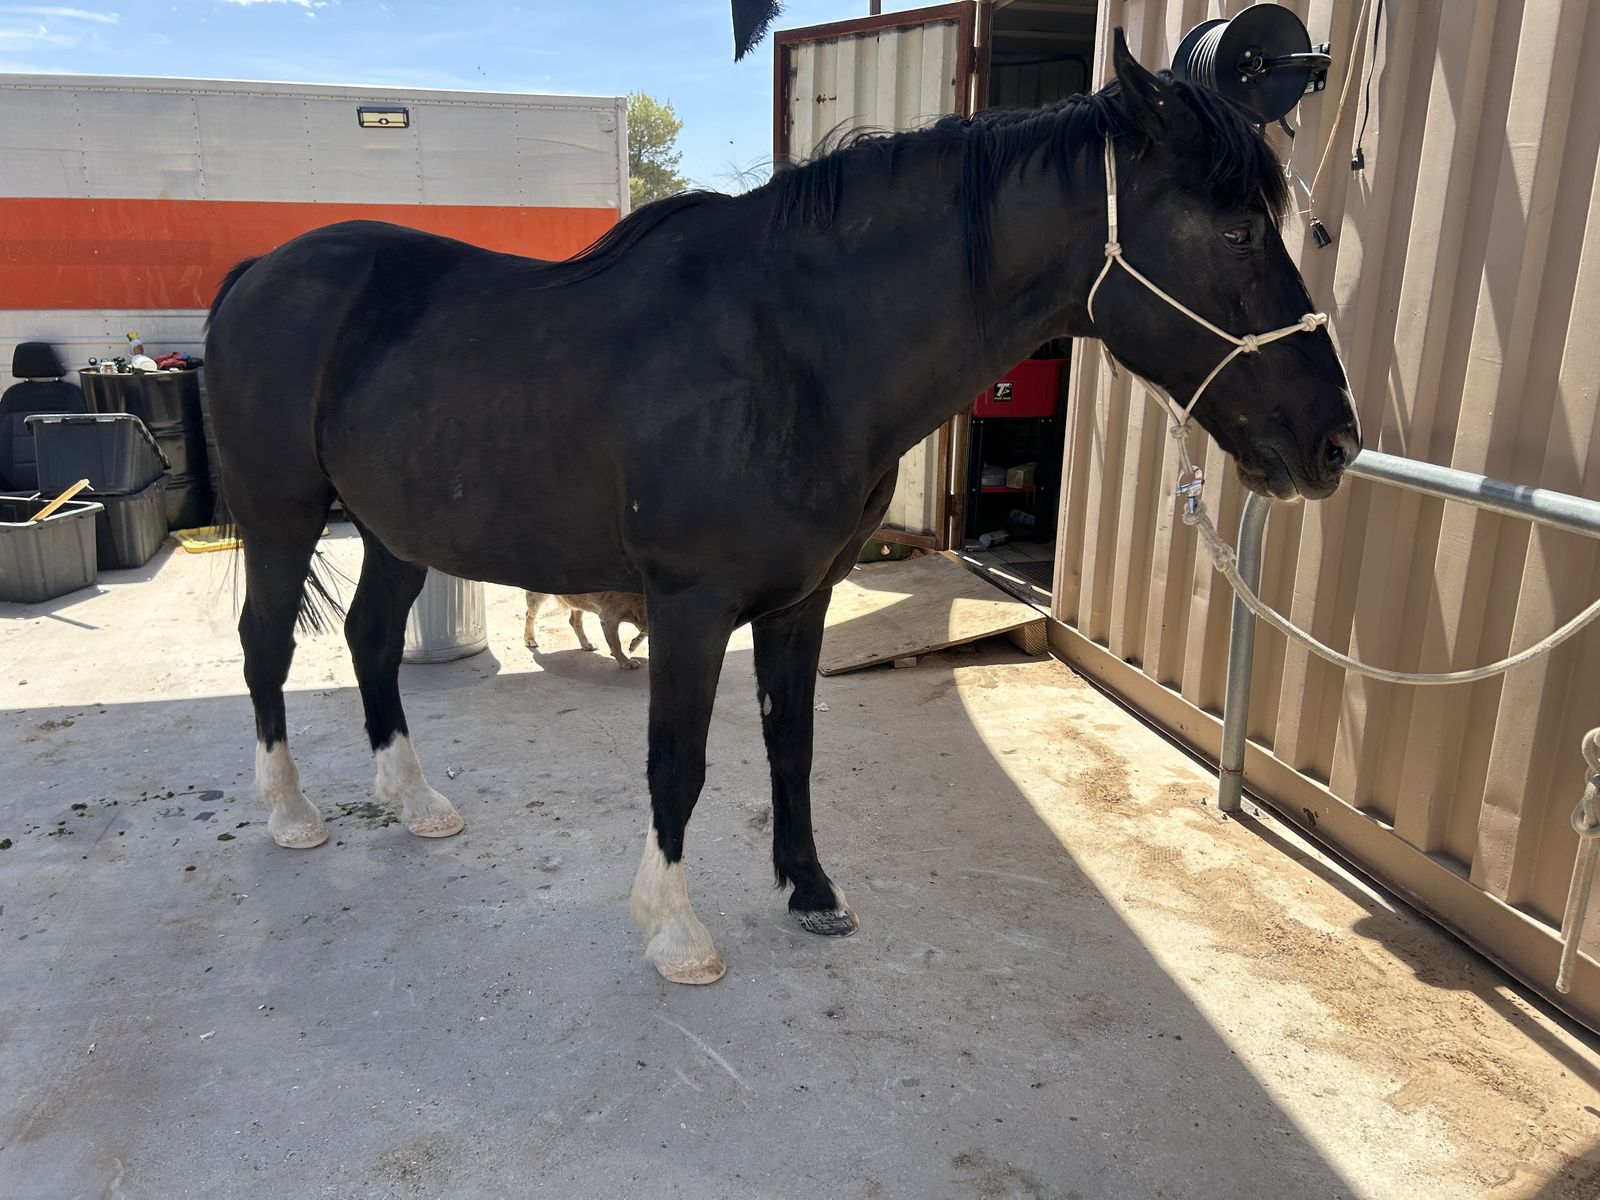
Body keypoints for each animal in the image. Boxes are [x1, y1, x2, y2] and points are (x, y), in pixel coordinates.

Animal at [204, 33, 1359, 985]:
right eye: (1236, 232)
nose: (1333, 442)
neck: (788, 353)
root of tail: (262, 268)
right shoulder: (687, 607)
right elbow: (679, 761)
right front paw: (675, 932)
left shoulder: (800, 603)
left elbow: (790, 747)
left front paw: (811, 893)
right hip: (283, 516)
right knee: (267, 645)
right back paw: (293, 816)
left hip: (396, 527)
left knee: (369, 638)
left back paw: (416, 804)